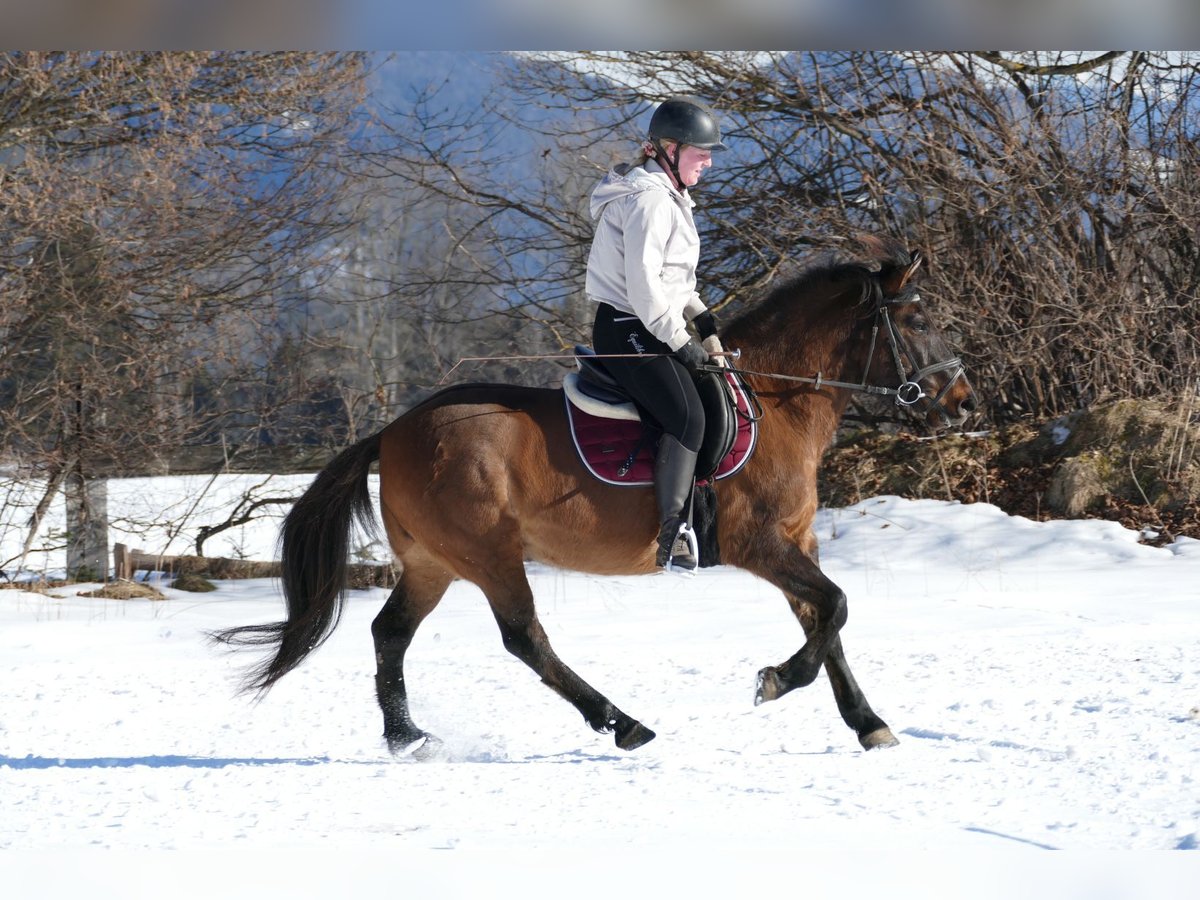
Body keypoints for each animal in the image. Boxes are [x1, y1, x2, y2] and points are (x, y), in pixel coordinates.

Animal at [216, 236, 979, 758]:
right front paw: (773, 680)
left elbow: (827, 620)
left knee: (390, 634)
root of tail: (396, 429)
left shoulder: (796, 541)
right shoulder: (757, 543)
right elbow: (836, 608)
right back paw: (623, 724)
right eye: (918, 323)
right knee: (524, 638)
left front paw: (869, 724)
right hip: (488, 554)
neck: (777, 401)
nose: (965, 404)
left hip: (434, 562)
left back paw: (408, 737)